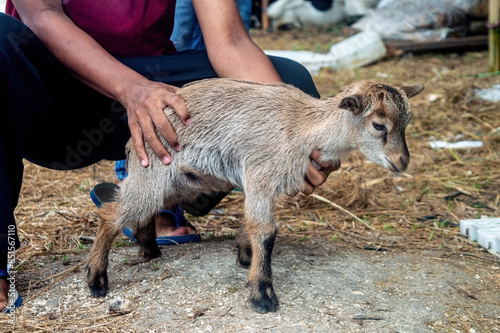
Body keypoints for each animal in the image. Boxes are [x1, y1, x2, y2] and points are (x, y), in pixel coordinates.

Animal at [86, 79, 422, 312]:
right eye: (379, 125)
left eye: (406, 123)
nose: (403, 161)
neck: (302, 127)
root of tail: (132, 142)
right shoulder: (260, 174)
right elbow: (266, 232)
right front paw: (263, 294)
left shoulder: (264, 184)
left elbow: (253, 224)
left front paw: (245, 254)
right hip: (153, 172)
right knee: (111, 213)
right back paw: (96, 278)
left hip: (175, 182)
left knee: (146, 208)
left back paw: (149, 248)